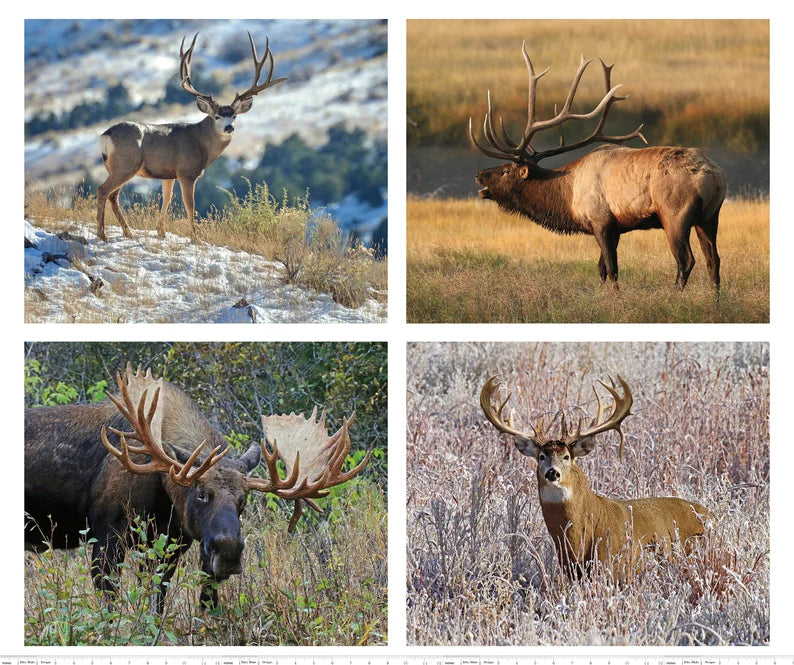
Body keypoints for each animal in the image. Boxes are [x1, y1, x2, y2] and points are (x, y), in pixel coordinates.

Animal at [25, 364, 369, 612]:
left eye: (243, 502)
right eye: (201, 494)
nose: (229, 551)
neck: (163, 497)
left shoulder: (172, 544)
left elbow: (158, 604)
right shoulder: (108, 530)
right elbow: (110, 606)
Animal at [96, 32, 286, 243]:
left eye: (234, 115)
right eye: (216, 116)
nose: (229, 127)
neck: (200, 142)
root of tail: (106, 135)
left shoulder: (169, 173)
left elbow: (167, 198)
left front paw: (161, 232)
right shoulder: (187, 171)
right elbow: (190, 204)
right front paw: (196, 238)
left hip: (116, 166)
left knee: (113, 196)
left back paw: (127, 232)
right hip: (126, 164)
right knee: (103, 190)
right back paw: (102, 234)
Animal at [469, 43, 726, 291]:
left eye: (506, 170)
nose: (479, 174)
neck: (568, 197)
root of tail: (715, 175)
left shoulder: (601, 221)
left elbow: (612, 269)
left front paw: (616, 298)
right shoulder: (615, 228)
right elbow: (601, 269)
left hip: (674, 214)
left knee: (686, 260)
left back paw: (674, 296)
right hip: (710, 215)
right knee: (713, 260)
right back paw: (715, 301)